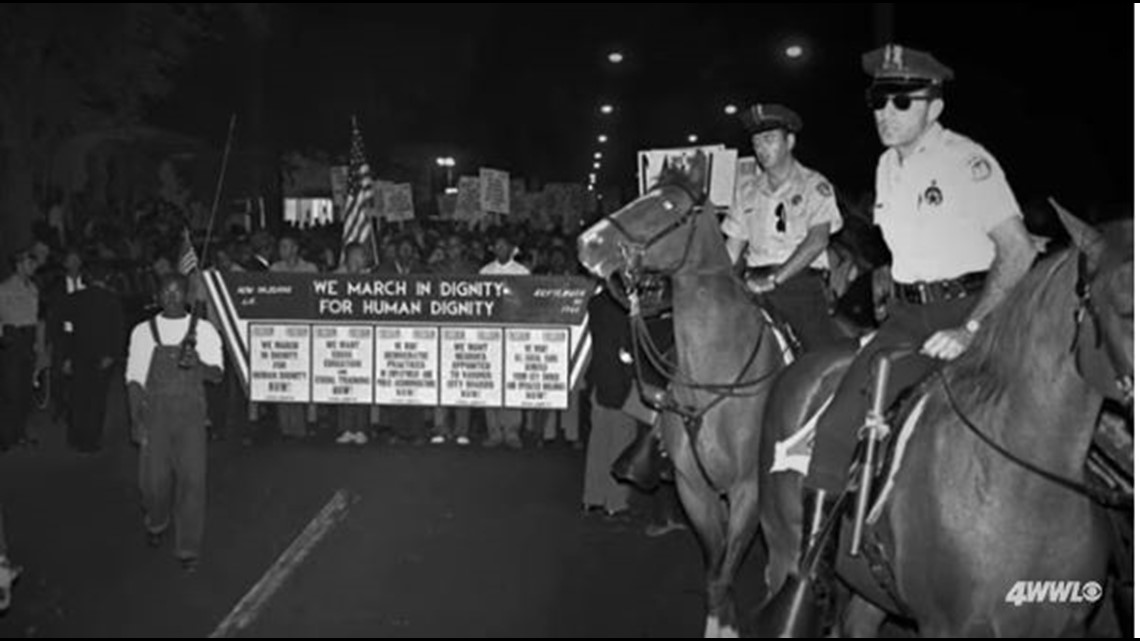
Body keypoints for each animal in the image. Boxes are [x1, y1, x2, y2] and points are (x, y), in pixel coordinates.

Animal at [579, 161, 793, 634]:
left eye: (667, 207)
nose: (588, 244)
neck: (717, 373)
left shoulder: (748, 491)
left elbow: (726, 569)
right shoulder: (694, 489)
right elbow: (715, 572)